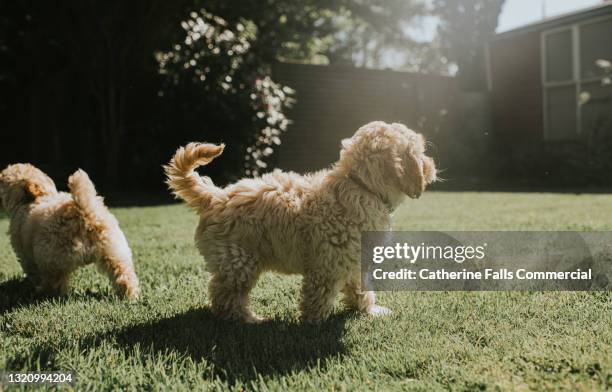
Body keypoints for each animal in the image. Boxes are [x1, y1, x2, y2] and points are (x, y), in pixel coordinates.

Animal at [0, 164, 140, 298]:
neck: (33, 198)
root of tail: (85, 214)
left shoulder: (25, 254)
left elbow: (32, 270)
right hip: (115, 251)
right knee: (124, 275)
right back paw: (130, 296)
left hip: (51, 259)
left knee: (54, 282)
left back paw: (43, 293)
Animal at [165, 121, 438, 322]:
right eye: (420, 151)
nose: (432, 165)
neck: (361, 186)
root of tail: (215, 196)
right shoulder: (326, 265)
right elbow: (318, 297)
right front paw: (313, 324)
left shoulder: (355, 260)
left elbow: (361, 288)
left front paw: (368, 311)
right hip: (239, 261)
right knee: (226, 296)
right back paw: (249, 319)